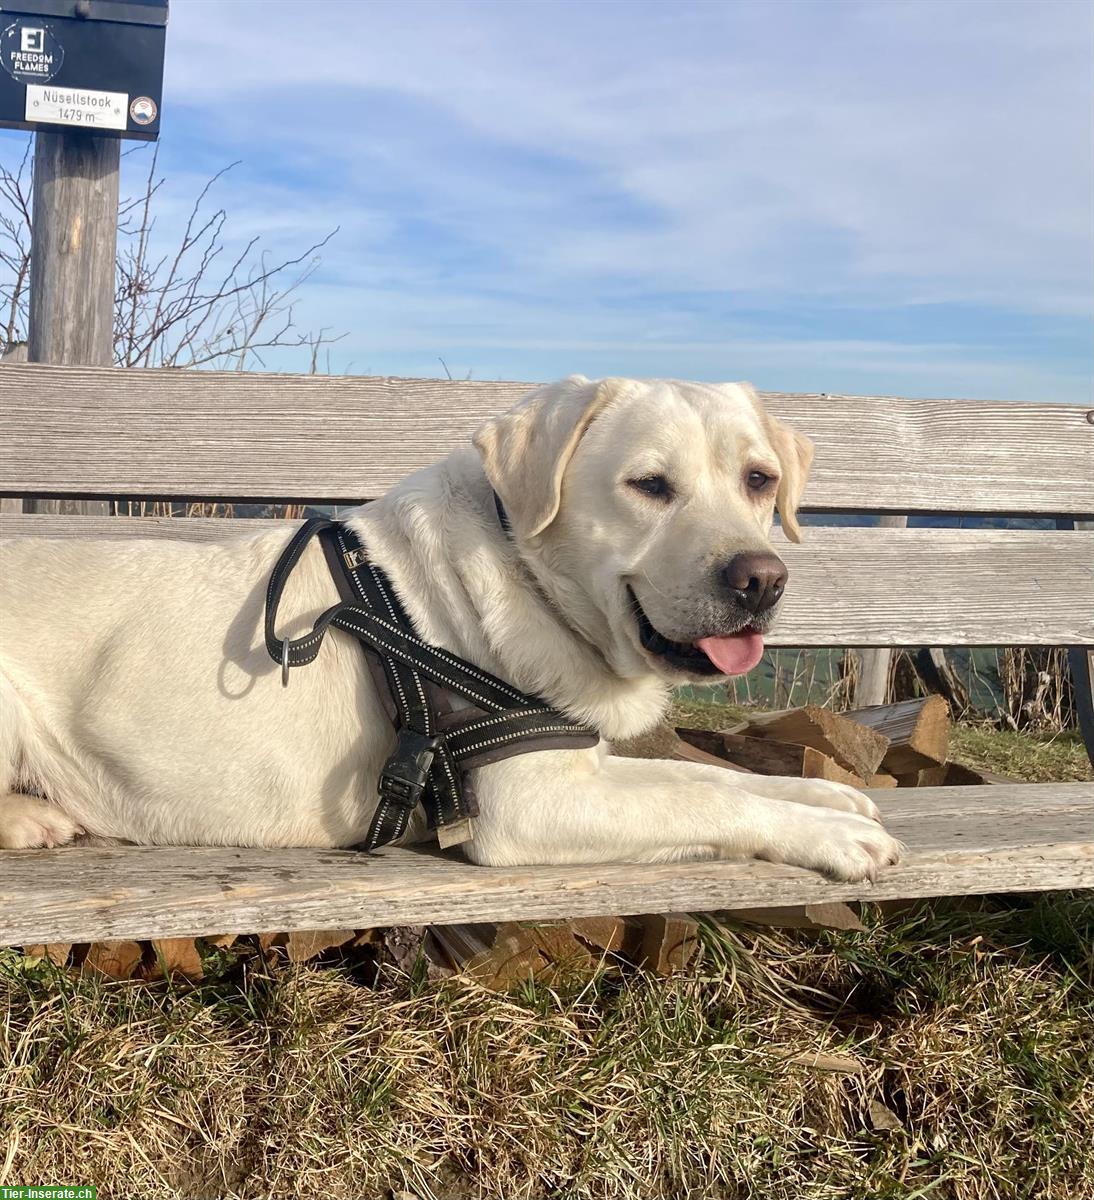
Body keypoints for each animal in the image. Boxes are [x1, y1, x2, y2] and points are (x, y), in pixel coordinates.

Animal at [4, 376, 902, 883]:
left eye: (760, 480)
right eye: (650, 485)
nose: (762, 579)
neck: (531, 583)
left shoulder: (576, 760)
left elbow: (701, 777)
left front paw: (828, 796)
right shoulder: (528, 805)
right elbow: (703, 801)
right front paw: (833, 836)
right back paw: (30, 818)